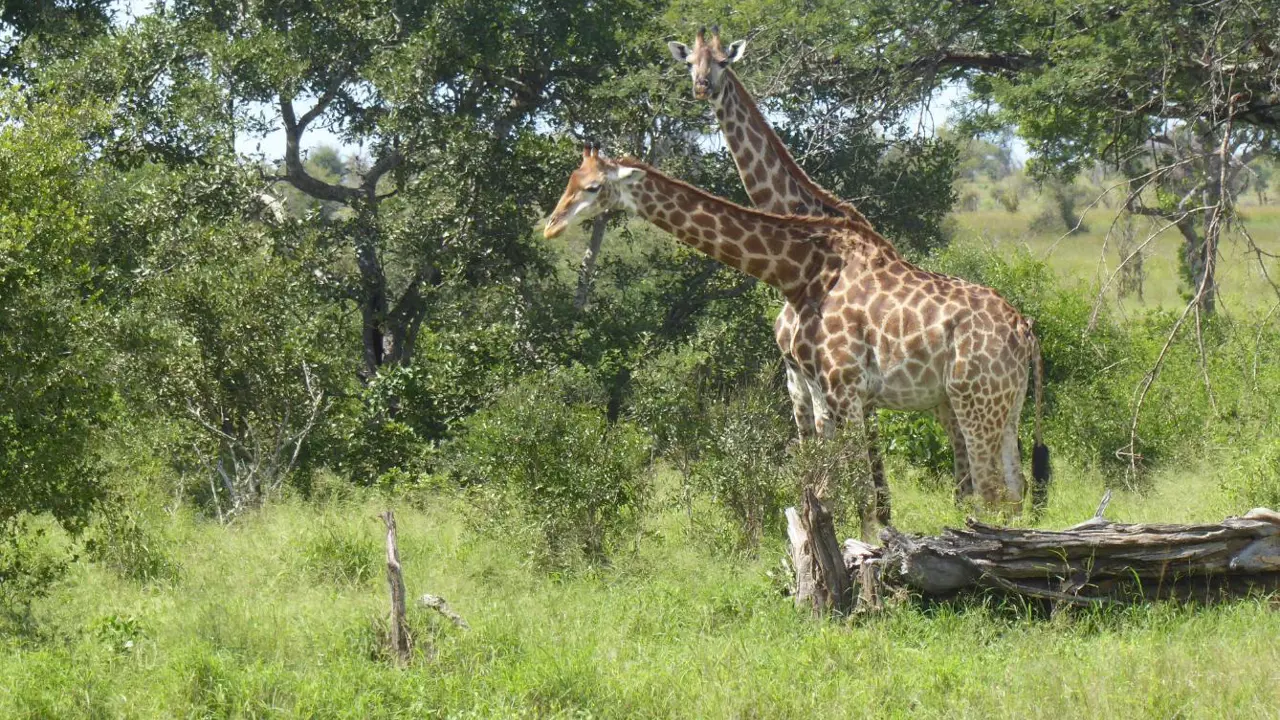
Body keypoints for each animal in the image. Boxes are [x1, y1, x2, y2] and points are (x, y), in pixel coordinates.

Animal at [544, 144, 1048, 514]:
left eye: (592, 187)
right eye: (569, 181)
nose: (550, 226)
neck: (804, 272)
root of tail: (1024, 329)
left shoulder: (844, 390)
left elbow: (859, 493)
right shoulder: (823, 392)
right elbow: (832, 489)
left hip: (972, 400)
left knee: (991, 490)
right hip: (1004, 405)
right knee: (1015, 486)